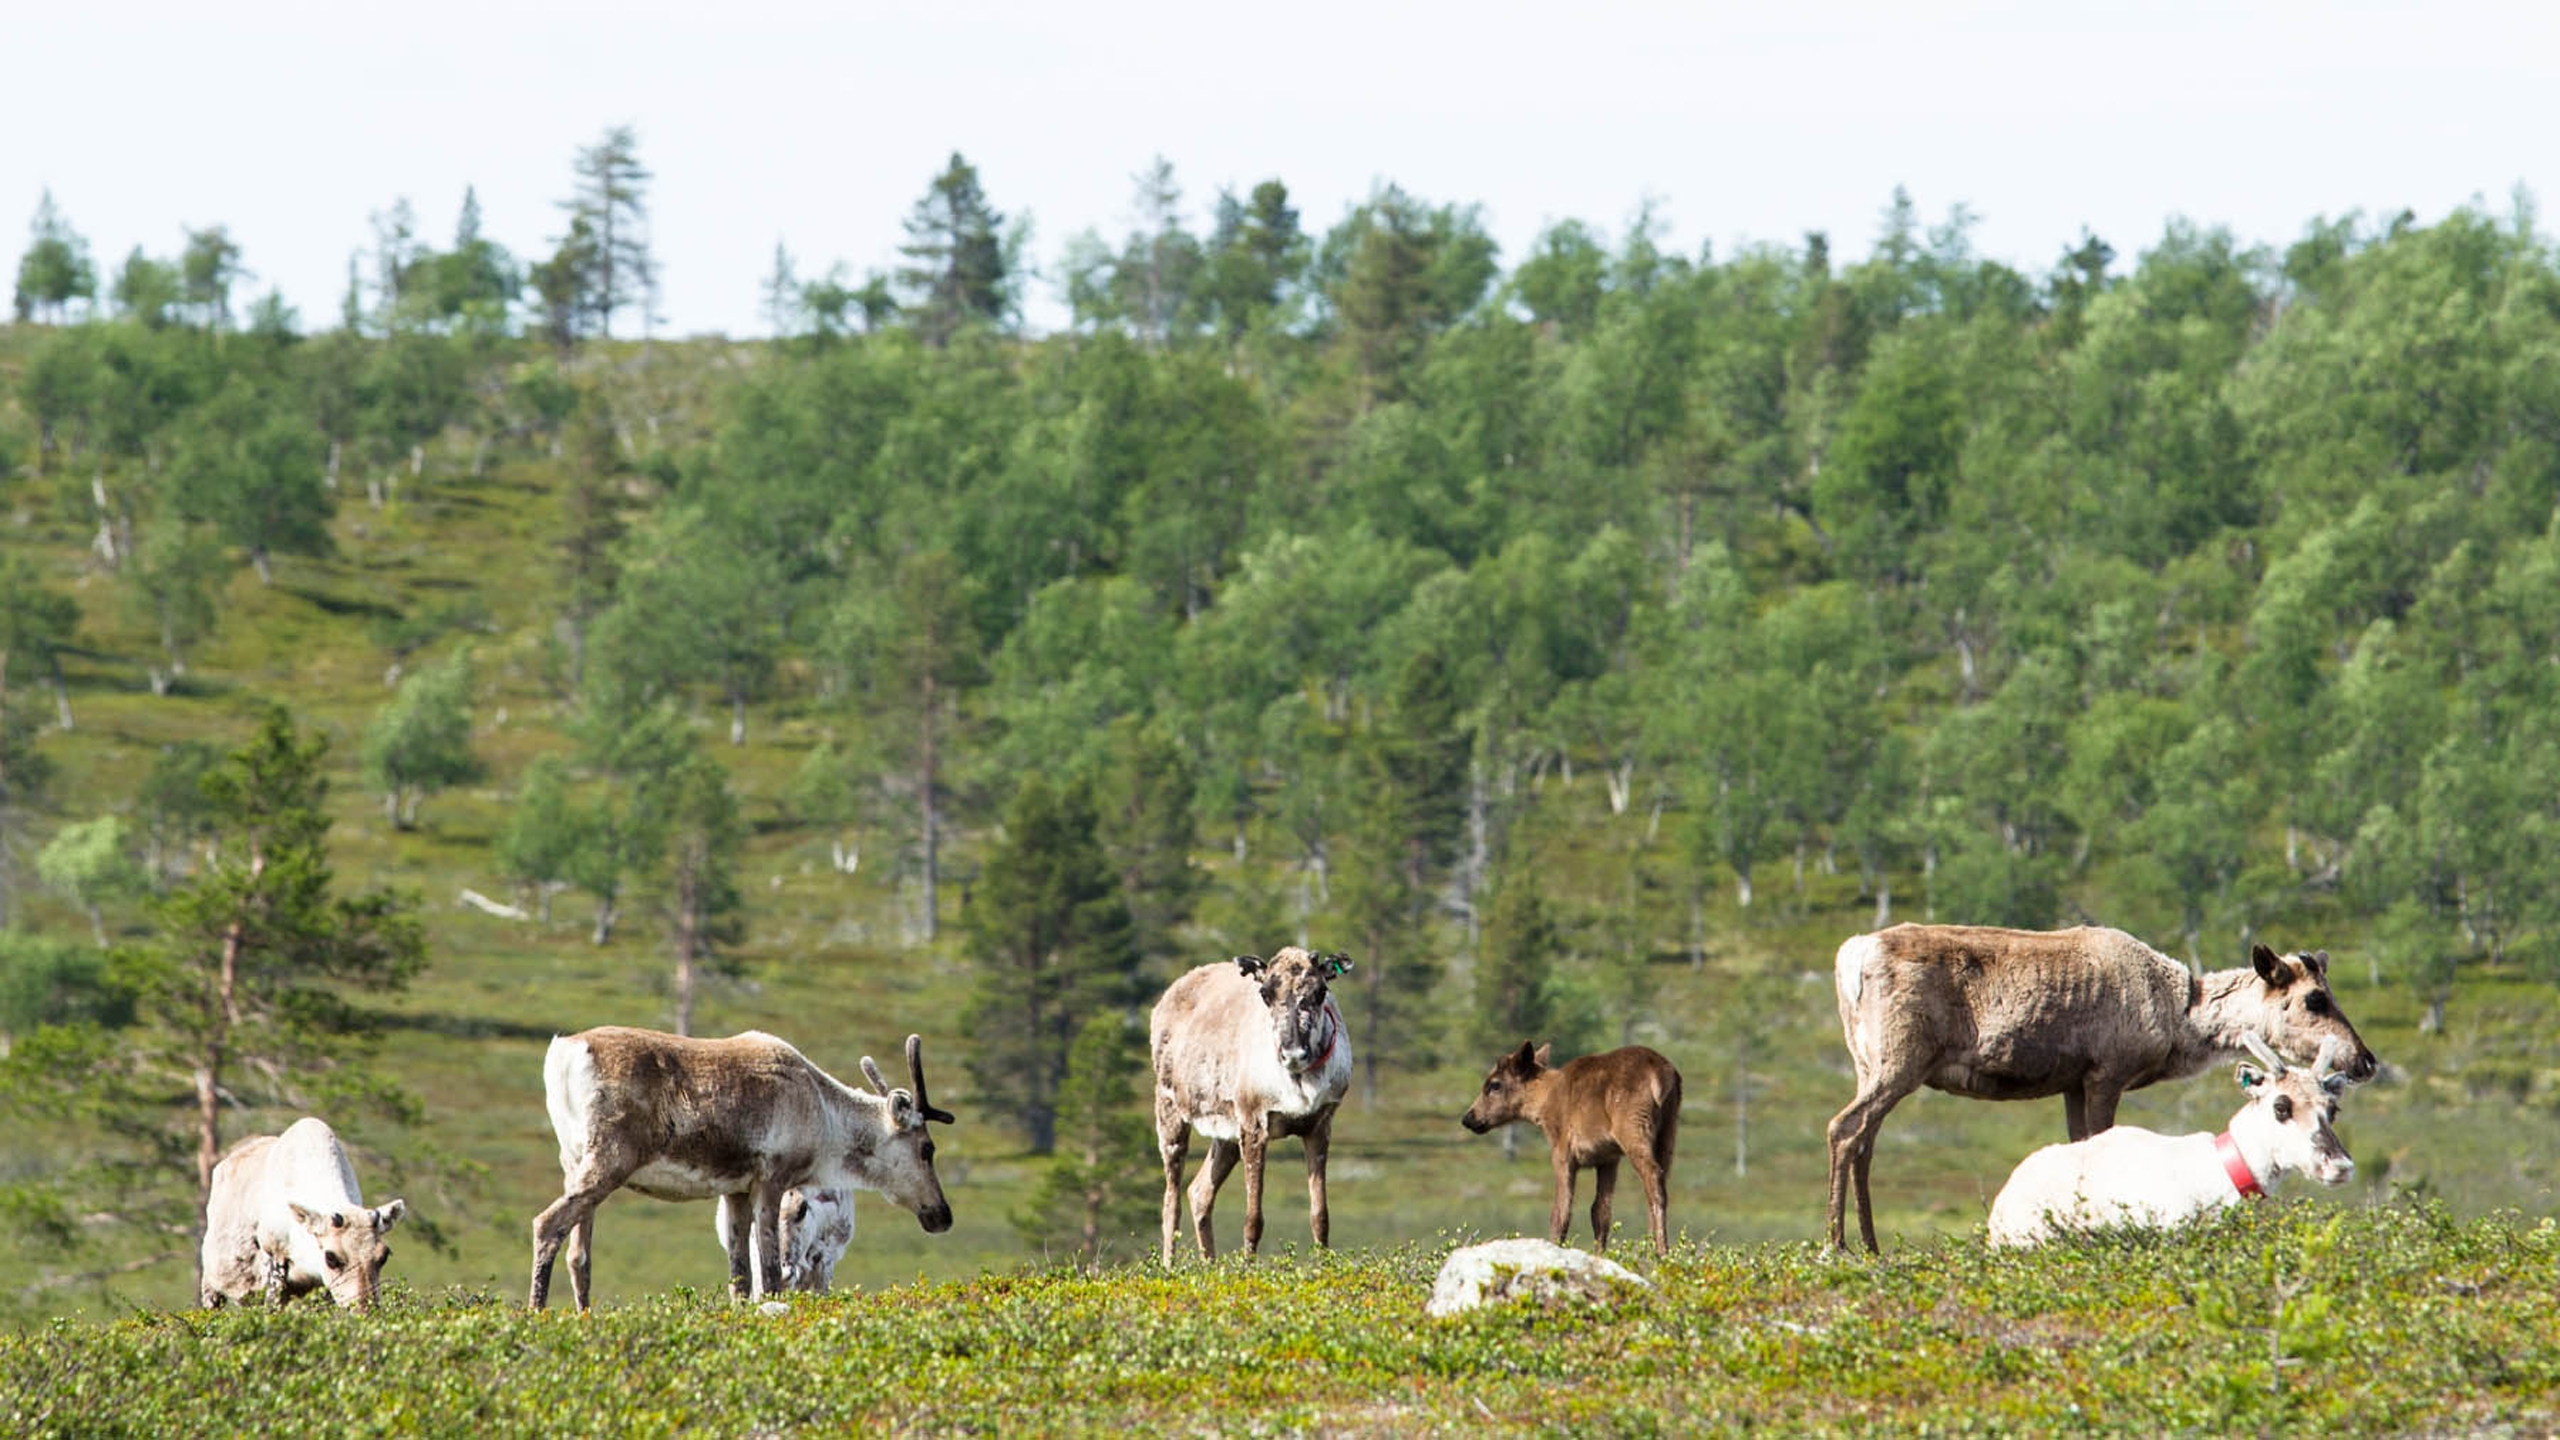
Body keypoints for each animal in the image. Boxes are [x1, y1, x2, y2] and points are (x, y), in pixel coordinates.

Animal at [529, 1027, 954, 1311]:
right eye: (927, 1148)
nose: (942, 1215)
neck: (824, 1115)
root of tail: (564, 1053)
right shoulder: (771, 1178)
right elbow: (769, 1273)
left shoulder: (734, 1190)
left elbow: (740, 1279)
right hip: (611, 1158)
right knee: (547, 1223)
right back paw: (537, 1311)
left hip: (574, 1160)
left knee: (579, 1255)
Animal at [1151, 947, 1354, 1268]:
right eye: (1265, 993)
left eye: (1321, 991)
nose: (1293, 1053)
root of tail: (1166, 998)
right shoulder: (1255, 1122)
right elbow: (1253, 1218)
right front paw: (1248, 1268)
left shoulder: (1320, 1124)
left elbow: (1320, 1215)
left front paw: (1324, 1265)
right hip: (1169, 1107)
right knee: (1171, 1198)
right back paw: (1170, 1266)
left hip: (1227, 1134)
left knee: (1199, 1191)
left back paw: (1210, 1265)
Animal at [1460, 1041, 1683, 1256]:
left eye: (1494, 1085)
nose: (1468, 1118)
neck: (1542, 1108)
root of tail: (1662, 1075)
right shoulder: (1608, 1158)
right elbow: (1600, 1211)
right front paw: (1599, 1254)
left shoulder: (1562, 1151)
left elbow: (1561, 1211)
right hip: (1668, 1132)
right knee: (1660, 1181)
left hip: (1632, 1126)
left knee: (1653, 1177)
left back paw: (1660, 1252)